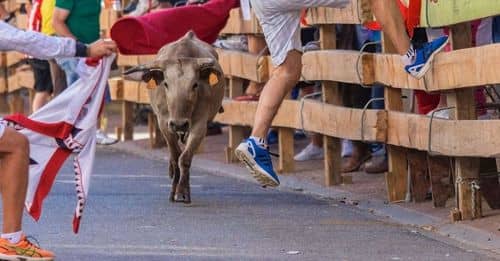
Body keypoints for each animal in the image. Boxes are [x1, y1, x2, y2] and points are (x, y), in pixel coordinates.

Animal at [125, 31, 225, 203]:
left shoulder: (200, 126)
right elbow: (176, 155)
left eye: (195, 84)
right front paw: (174, 189)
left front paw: (182, 191)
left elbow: (184, 159)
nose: (179, 124)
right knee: (173, 157)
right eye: (166, 84)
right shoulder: (165, 123)